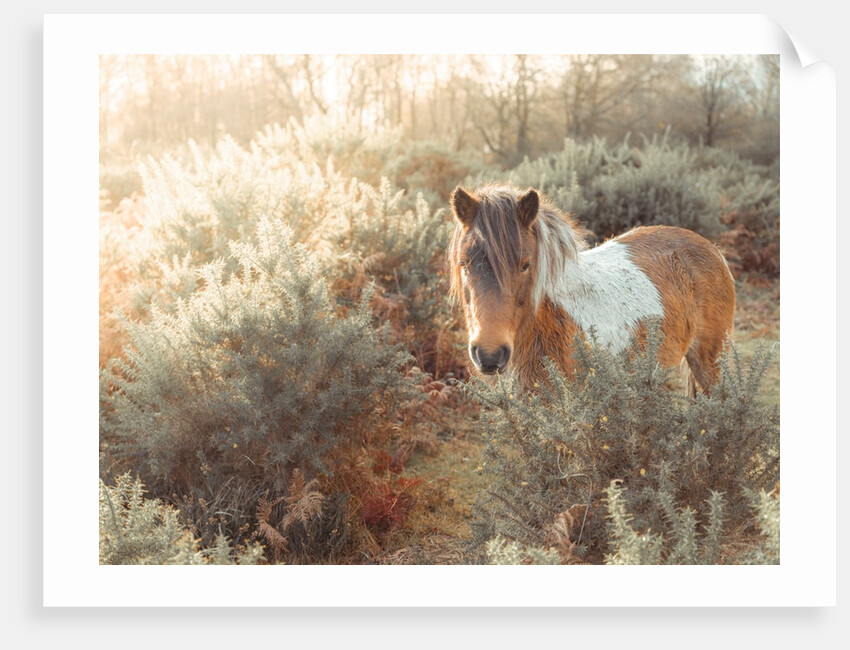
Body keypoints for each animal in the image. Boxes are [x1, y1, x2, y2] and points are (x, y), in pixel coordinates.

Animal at [447, 184, 736, 395]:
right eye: (464, 263)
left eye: (525, 265)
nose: (489, 354)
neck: (550, 318)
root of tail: (711, 248)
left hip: (710, 363)